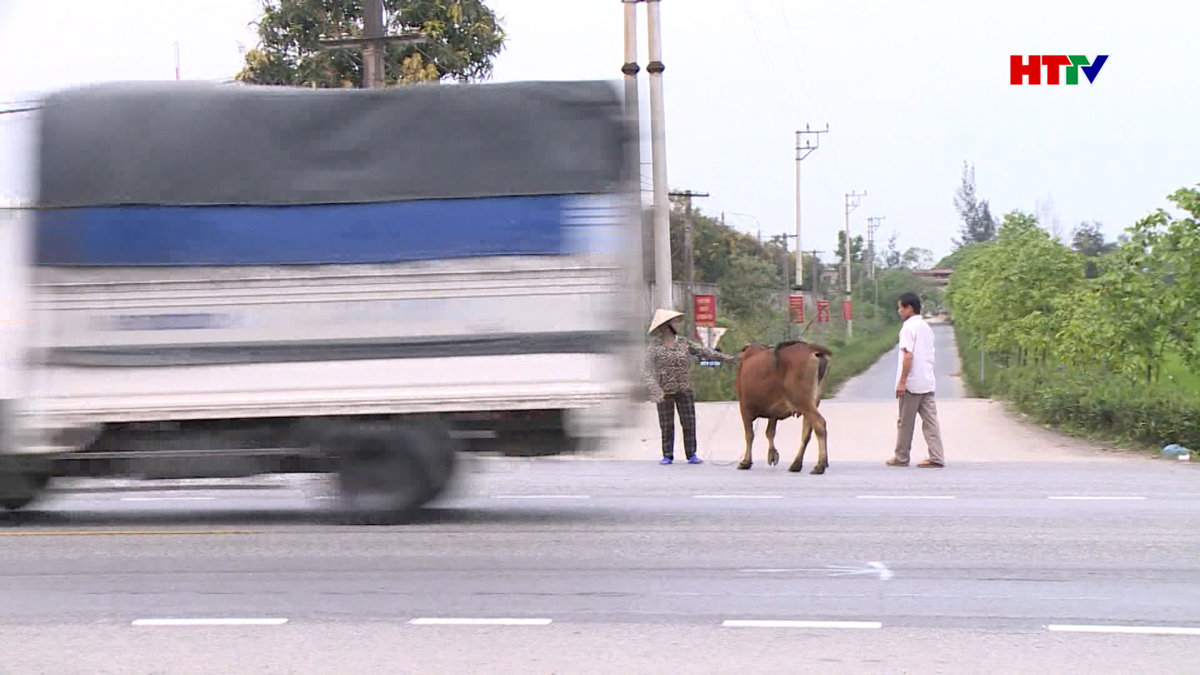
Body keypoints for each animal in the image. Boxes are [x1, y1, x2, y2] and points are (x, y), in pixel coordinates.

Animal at [734, 336, 830, 473]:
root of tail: (810, 348)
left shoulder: (744, 407)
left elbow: (749, 435)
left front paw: (746, 461)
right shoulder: (773, 412)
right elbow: (770, 432)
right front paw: (772, 454)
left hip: (803, 401)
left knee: (819, 424)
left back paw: (820, 465)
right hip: (812, 402)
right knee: (807, 432)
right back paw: (796, 464)